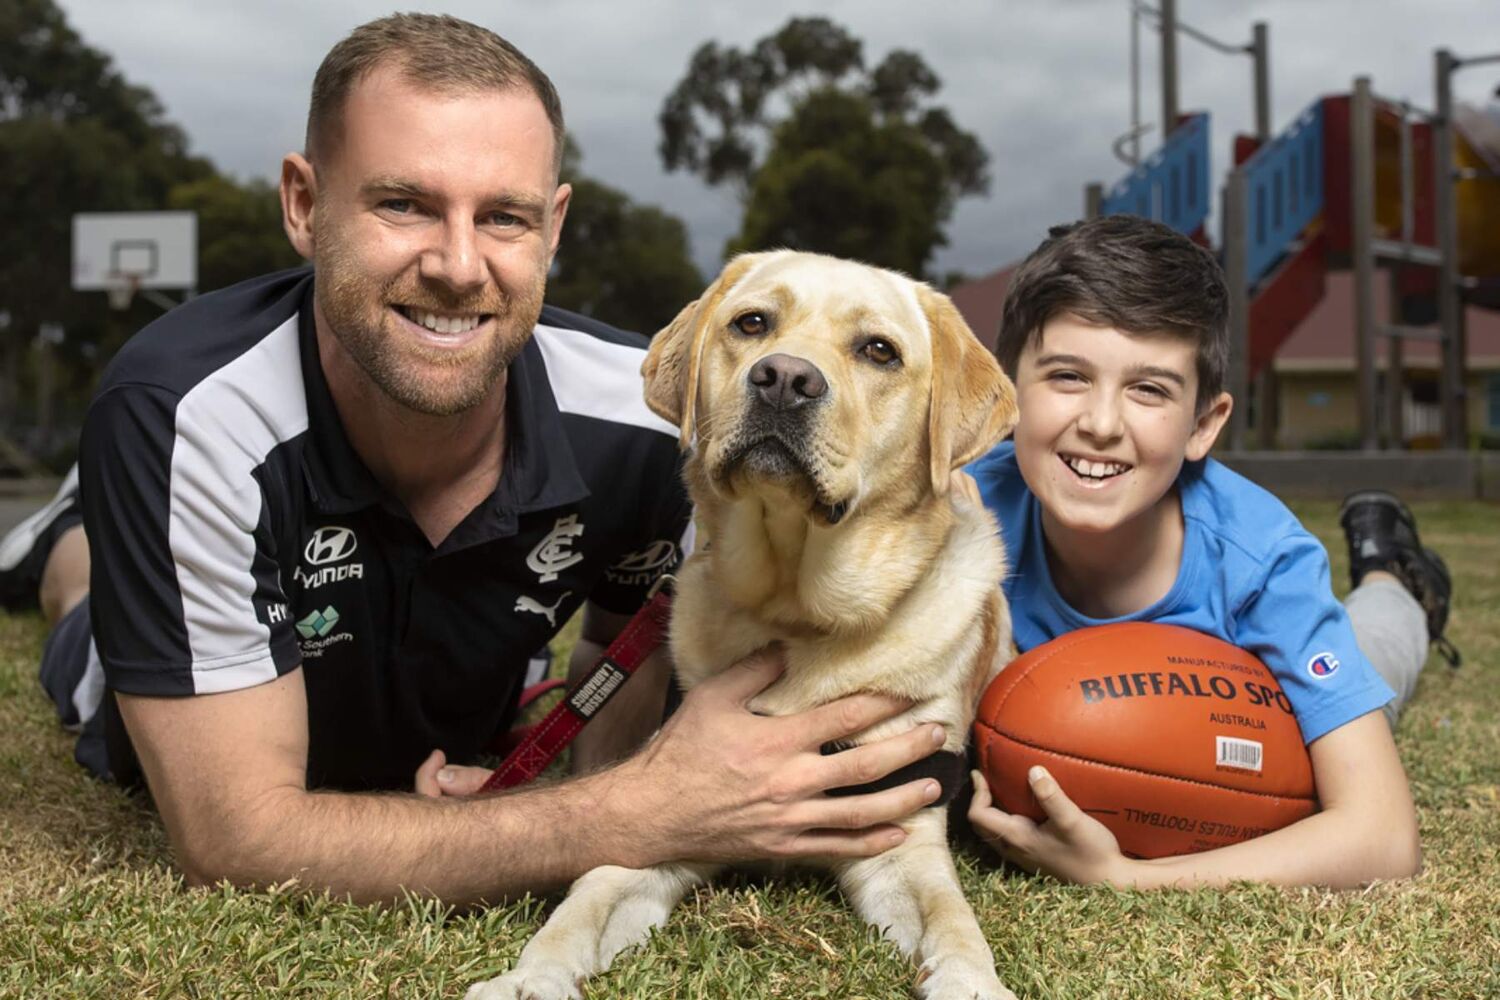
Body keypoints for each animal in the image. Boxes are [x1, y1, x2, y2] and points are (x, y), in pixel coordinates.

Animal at [471, 250, 1020, 1000]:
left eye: (879, 351)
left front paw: (971, 980)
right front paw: (532, 976)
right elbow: (586, 897)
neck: (795, 614)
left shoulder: (902, 835)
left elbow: (953, 921)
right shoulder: (673, 815)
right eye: (752, 324)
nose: (784, 379)